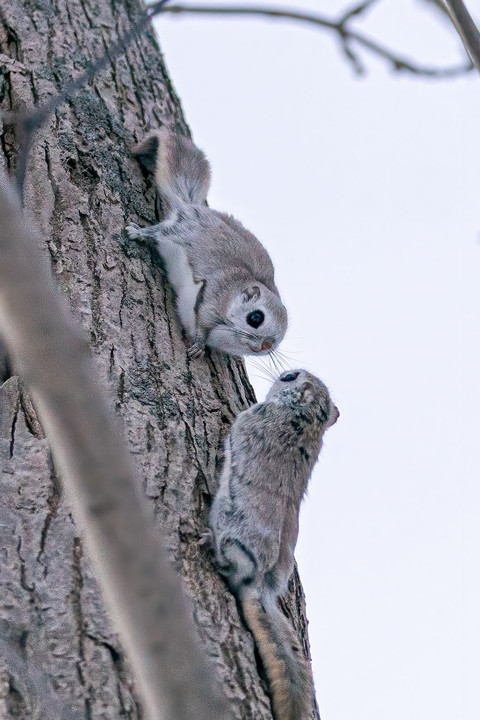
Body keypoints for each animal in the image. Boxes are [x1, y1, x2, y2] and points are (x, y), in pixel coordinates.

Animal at [125, 130, 286, 360]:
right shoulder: (212, 294)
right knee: (159, 232)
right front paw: (199, 345)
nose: (265, 345)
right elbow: (201, 322)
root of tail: (191, 208)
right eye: (256, 318)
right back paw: (139, 233)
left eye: (276, 343)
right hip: (181, 232)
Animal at [208, 368, 340, 720]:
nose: (281, 372)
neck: (305, 421)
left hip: (235, 539)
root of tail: (262, 584)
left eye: (290, 377)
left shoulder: (251, 419)